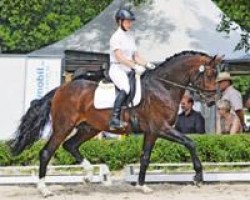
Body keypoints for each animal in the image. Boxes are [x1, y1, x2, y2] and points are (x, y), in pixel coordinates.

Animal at [10, 50, 223, 196]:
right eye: (209, 74)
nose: (212, 100)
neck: (163, 86)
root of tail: (61, 89)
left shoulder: (151, 132)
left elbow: (145, 157)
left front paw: (142, 186)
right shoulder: (161, 128)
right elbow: (190, 142)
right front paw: (198, 177)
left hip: (89, 128)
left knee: (70, 145)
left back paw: (88, 175)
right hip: (63, 126)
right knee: (47, 152)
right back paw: (44, 189)